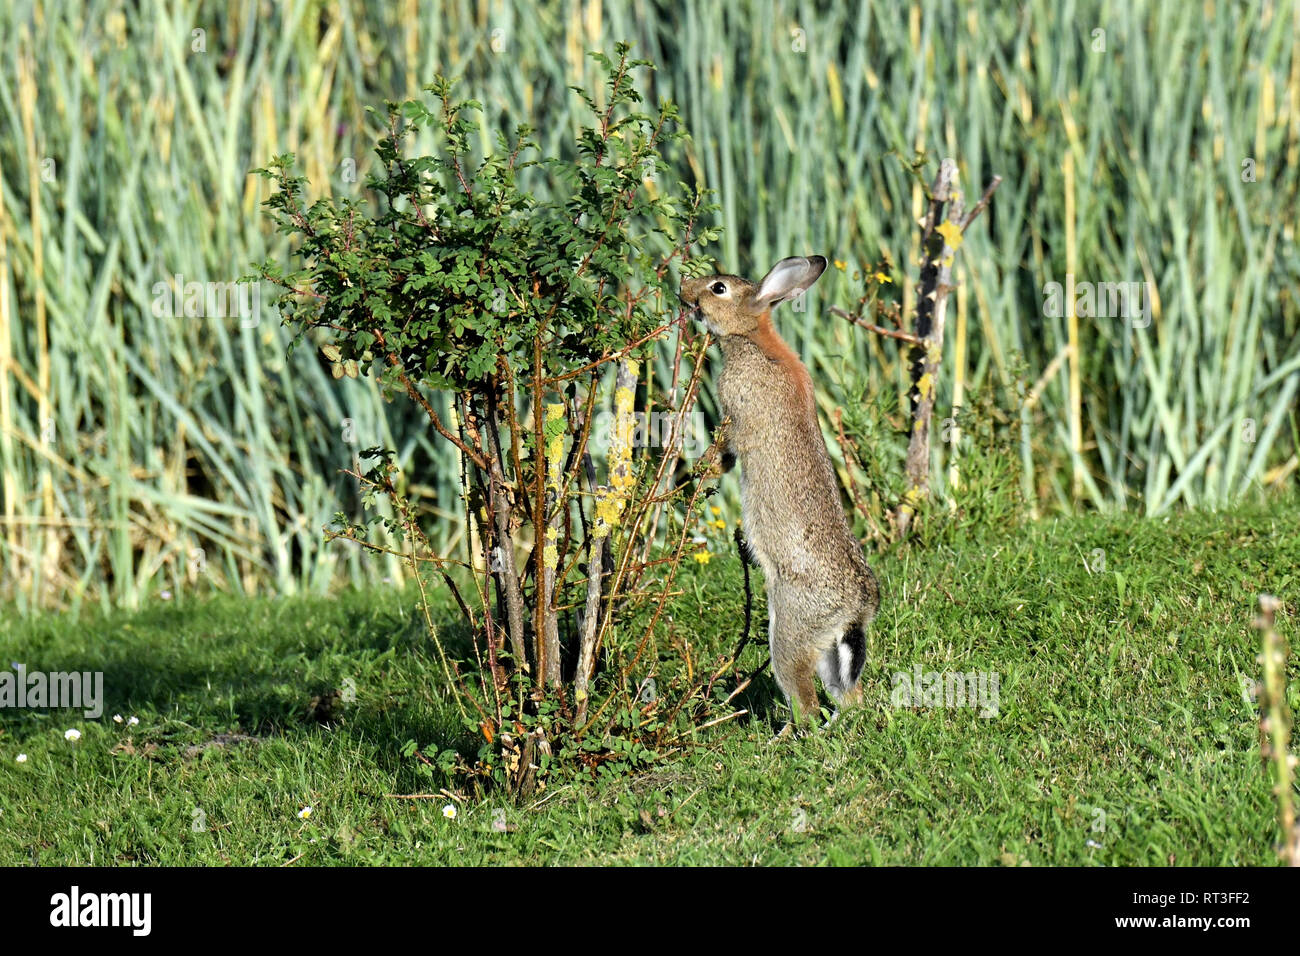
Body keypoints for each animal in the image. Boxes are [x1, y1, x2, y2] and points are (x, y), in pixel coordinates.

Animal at [680, 256, 880, 727]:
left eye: (718, 288)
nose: (685, 290)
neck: (752, 339)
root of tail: (857, 608)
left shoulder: (734, 416)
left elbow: (725, 450)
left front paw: (699, 471)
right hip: (828, 649)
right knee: (848, 693)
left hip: (790, 630)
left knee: (802, 695)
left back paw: (792, 732)